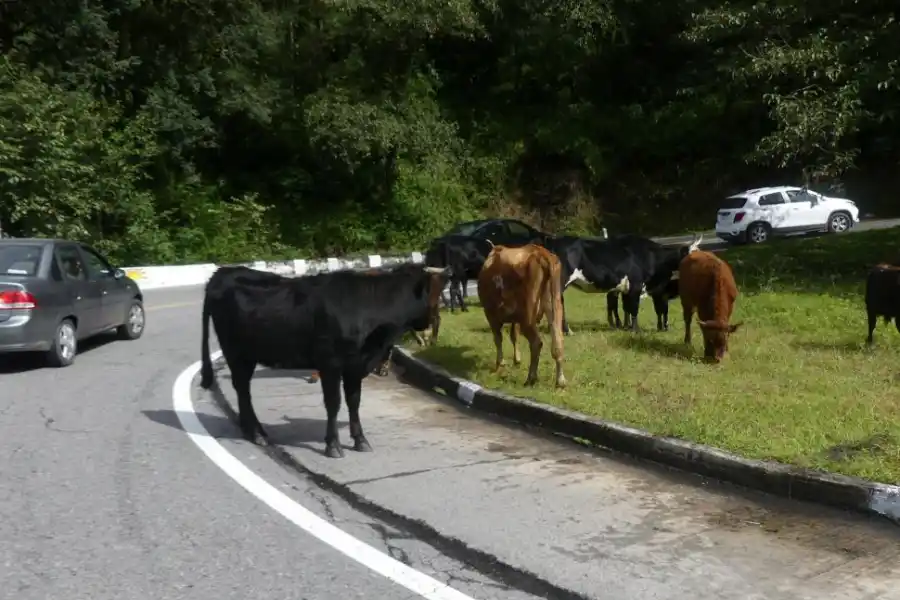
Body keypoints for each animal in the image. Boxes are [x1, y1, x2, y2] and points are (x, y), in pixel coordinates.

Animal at [199, 263, 451, 458]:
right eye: (437, 292)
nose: (434, 321)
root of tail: (222, 272)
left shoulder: (355, 366)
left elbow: (354, 401)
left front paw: (360, 440)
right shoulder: (330, 364)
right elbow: (334, 403)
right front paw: (333, 445)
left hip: (246, 354)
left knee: (243, 389)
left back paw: (251, 431)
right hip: (235, 352)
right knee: (243, 389)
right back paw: (257, 433)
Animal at [477, 244, 566, 388]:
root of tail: (540, 251)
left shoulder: (490, 314)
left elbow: (498, 339)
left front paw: (500, 363)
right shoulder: (516, 318)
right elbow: (514, 335)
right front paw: (516, 360)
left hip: (528, 316)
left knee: (536, 343)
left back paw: (531, 378)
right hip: (555, 305)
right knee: (558, 340)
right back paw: (561, 381)